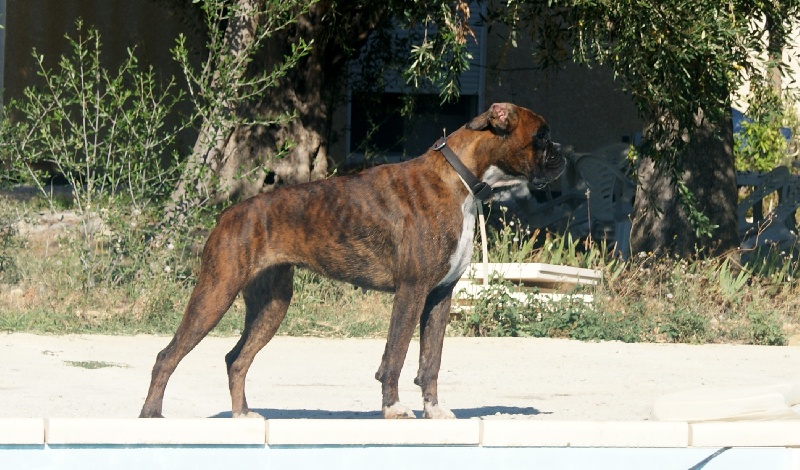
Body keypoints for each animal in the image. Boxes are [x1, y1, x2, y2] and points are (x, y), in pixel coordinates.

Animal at [142, 102, 568, 418]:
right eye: (542, 135)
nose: (564, 153)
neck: (460, 179)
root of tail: (229, 213)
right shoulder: (412, 292)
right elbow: (396, 356)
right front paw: (393, 409)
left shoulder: (439, 298)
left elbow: (430, 362)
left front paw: (433, 411)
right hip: (216, 293)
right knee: (167, 356)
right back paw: (151, 418)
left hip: (271, 305)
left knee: (237, 358)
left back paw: (242, 416)